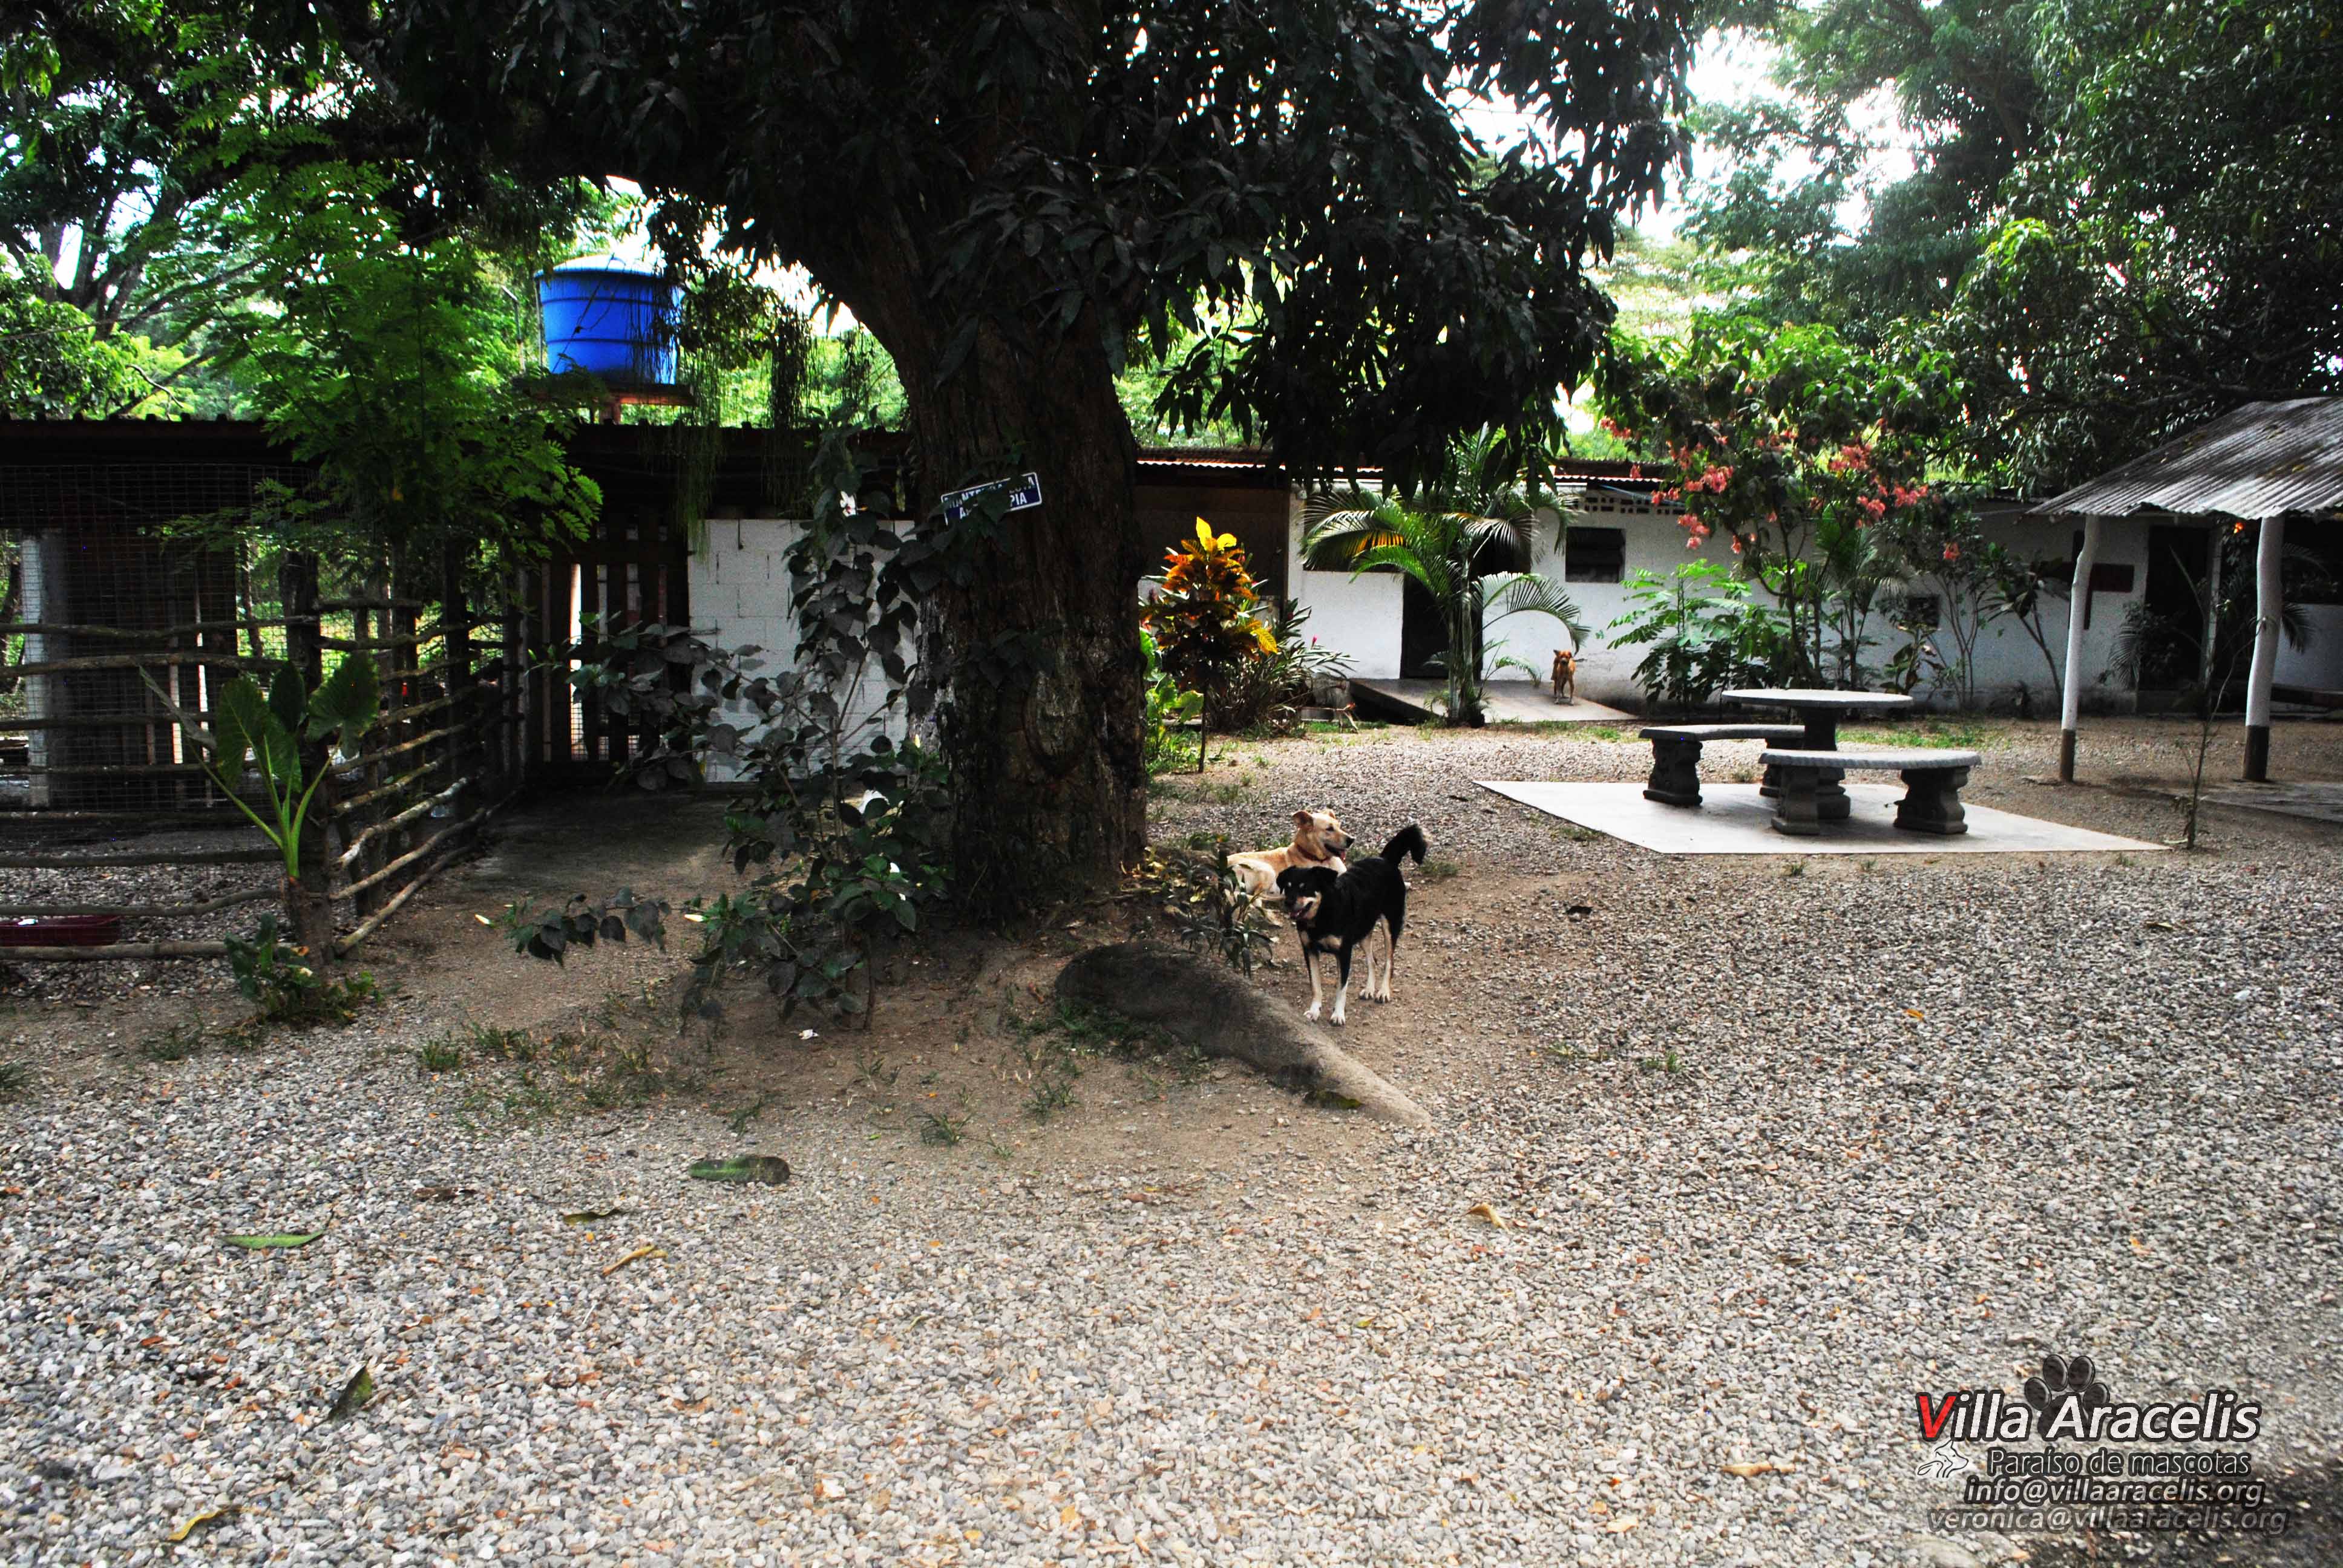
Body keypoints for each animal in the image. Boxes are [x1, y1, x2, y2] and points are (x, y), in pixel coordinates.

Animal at [1283, 820, 1424, 1027]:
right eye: (1287, 888)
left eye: (1305, 888)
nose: (1288, 903)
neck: (1322, 914)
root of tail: (1386, 860)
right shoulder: (1310, 950)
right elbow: (1316, 986)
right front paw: (1314, 1011)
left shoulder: (1344, 952)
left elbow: (1341, 988)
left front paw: (1338, 1015)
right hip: (1364, 929)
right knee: (1372, 961)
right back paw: (1370, 989)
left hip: (1390, 924)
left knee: (1389, 961)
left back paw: (1383, 992)